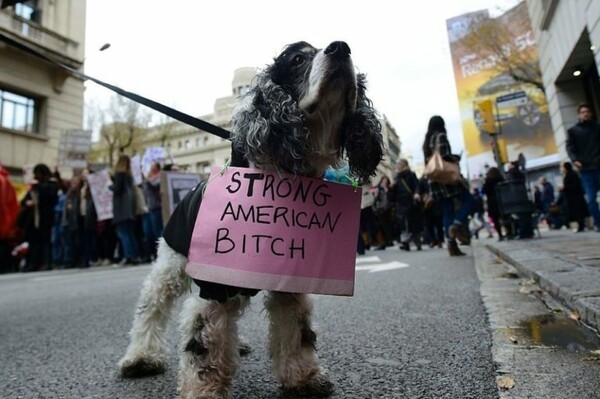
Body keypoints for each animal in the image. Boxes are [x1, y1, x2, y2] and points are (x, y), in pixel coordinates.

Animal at [117, 41, 382, 399]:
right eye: (297, 58)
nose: (341, 47)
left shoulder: (289, 281)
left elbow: (297, 331)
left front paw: (304, 378)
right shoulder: (213, 287)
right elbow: (203, 346)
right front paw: (203, 390)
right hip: (169, 267)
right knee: (151, 308)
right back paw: (141, 357)